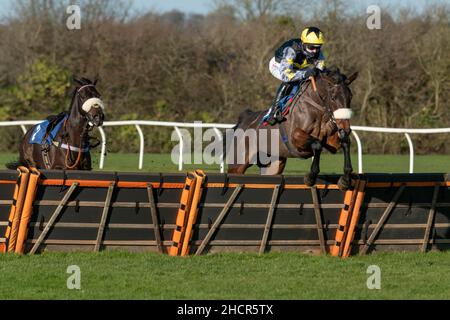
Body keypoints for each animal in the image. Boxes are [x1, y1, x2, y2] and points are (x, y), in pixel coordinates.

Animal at [229, 68, 358, 190]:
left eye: (350, 96)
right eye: (333, 97)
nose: (346, 127)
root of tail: (244, 119)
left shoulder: (331, 143)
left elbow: (345, 142)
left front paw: (345, 179)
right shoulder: (295, 138)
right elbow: (317, 144)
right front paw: (311, 176)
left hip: (272, 165)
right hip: (238, 163)